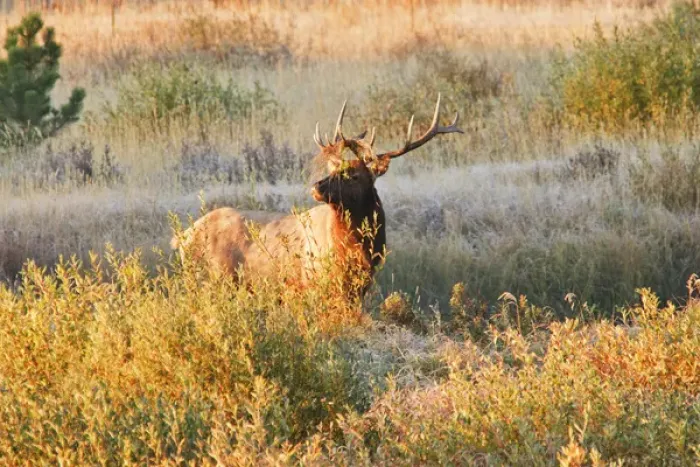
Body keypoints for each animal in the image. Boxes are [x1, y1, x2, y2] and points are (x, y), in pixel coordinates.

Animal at [171, 94, 462, 297]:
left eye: (353, 175)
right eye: (334, 168)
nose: (316, 186)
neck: (357, 248)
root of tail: (183, 237)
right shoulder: (316, 280)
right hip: (210, 280)